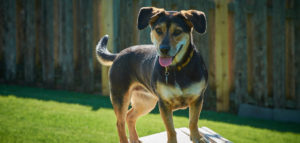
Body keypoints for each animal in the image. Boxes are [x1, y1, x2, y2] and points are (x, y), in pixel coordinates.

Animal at [96, 6, 209, 143]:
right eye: (158, 30)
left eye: (177, 31)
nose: (163, 49)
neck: (177, 68)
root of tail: (118, 54)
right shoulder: (164, 104)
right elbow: (170, 129)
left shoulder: (197, 99)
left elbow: (193, 122)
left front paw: (197, 138)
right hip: (120, 97)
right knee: (120, 123)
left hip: (145, 102)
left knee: (130, 116)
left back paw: (135, 139)